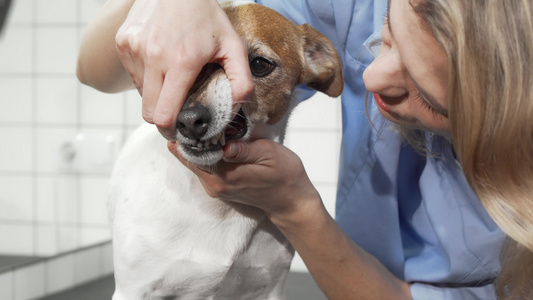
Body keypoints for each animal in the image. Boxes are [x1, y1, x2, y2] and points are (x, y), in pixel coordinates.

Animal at [107, 1, 344, 298]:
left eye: (259, 65)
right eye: (187, 64)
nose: (189, 121)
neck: (218, 209)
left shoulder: (270, 287)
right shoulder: (133, 289)